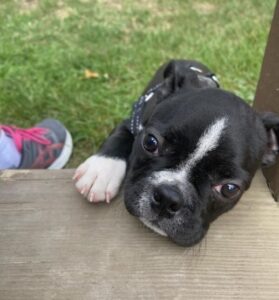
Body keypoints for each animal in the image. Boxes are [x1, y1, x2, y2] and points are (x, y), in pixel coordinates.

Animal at [73, 59, 278, 246]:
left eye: (229, 189)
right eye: (150, 142)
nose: (168, 197)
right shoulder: (134, 119)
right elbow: (120, 134)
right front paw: (101, 169)